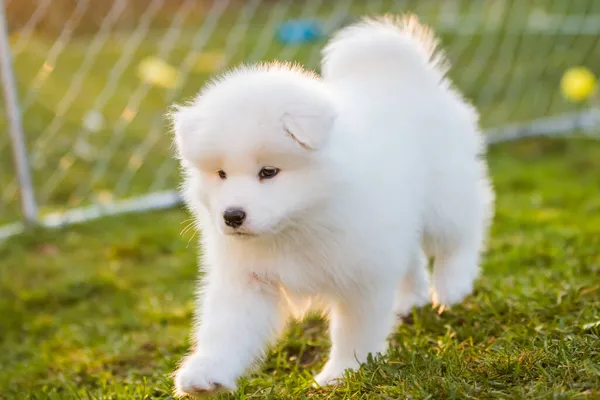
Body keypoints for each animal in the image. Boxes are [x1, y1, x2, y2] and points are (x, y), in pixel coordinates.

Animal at [168, 14, 492, 396]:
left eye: (268, 171)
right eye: (220, 173)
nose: (232, 216)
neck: (299, 222)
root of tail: (399, 74)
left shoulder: (361, 273)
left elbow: (354, 331)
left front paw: (342, 373)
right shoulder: (247, 275)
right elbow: (227, 327)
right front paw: (207, 373)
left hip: (443, 196)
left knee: (463, 231)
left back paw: (452, 286)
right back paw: (410, 298)